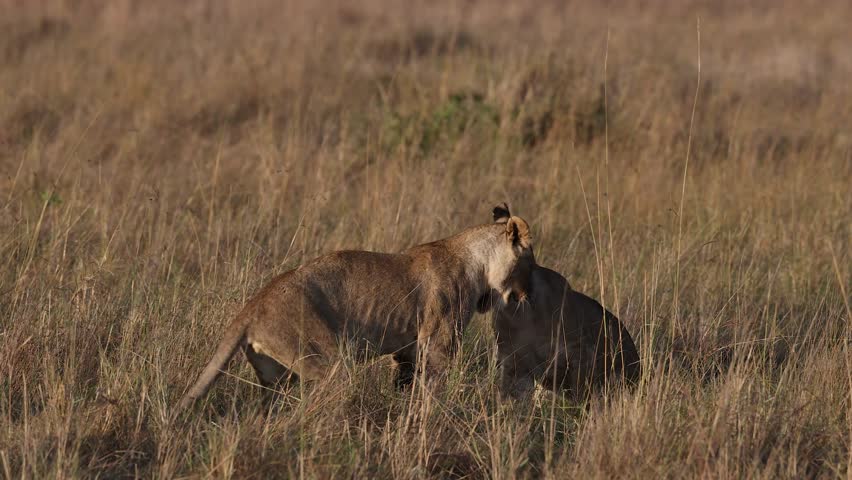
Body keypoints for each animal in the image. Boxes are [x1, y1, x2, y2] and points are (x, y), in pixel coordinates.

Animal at [176, 205, 536, 412]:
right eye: (531, 265)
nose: (528, 296)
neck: (477, 262)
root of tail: (252, 306)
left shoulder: (408, 350)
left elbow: (406, 384)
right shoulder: (438, 345)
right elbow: (434, 391)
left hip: (275, 378)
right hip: (327, 363)